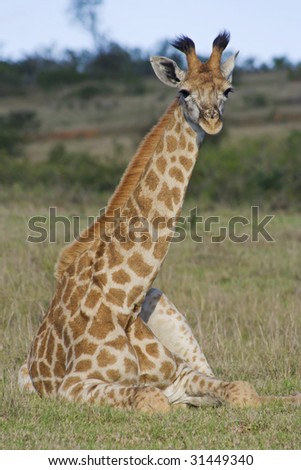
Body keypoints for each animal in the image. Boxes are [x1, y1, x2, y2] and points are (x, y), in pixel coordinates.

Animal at [19, 32, 300, 412]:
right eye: (184, 92)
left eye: (227, 90)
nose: (212, 120)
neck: (123, 301)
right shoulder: (72, 386)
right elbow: (151, 399)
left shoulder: (180, 373)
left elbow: (243, 390)